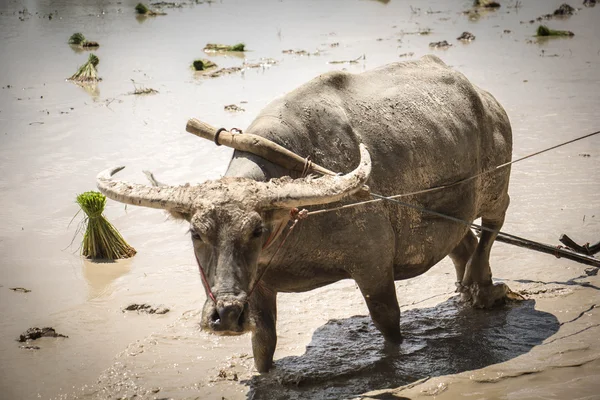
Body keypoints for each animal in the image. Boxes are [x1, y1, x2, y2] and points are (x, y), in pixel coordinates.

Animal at [97, 55, 510, 372]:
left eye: (256, 231)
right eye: (196, 233)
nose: (225, 315)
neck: (294, 223)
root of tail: (485, 99)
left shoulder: (373, 266)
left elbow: (387, 322)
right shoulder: (259, 287)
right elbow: (264, 343)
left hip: (497, 188)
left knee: (491, 228)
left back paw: (481, 285)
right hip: (451, 216)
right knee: (463, 243)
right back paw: (476, 289)